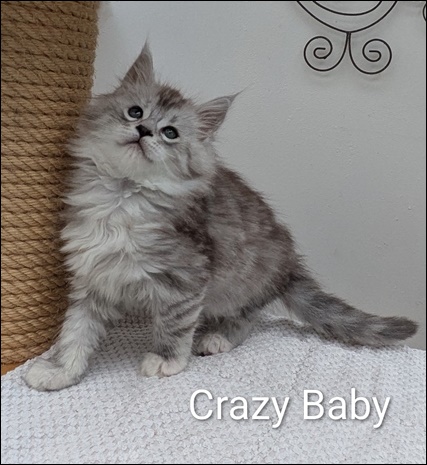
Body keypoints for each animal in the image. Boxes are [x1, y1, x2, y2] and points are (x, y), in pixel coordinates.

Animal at [24, 43, 417, 391]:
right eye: (135, 112)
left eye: (170, 133)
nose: (144, 131)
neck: (122, 198)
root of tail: (289, 267)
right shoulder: (93, 275)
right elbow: (75, 332)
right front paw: (60, 371)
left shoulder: (187, 277)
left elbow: (174, 324)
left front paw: (167, 359)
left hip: (236, 286)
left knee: (247, 319)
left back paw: (217, 338)